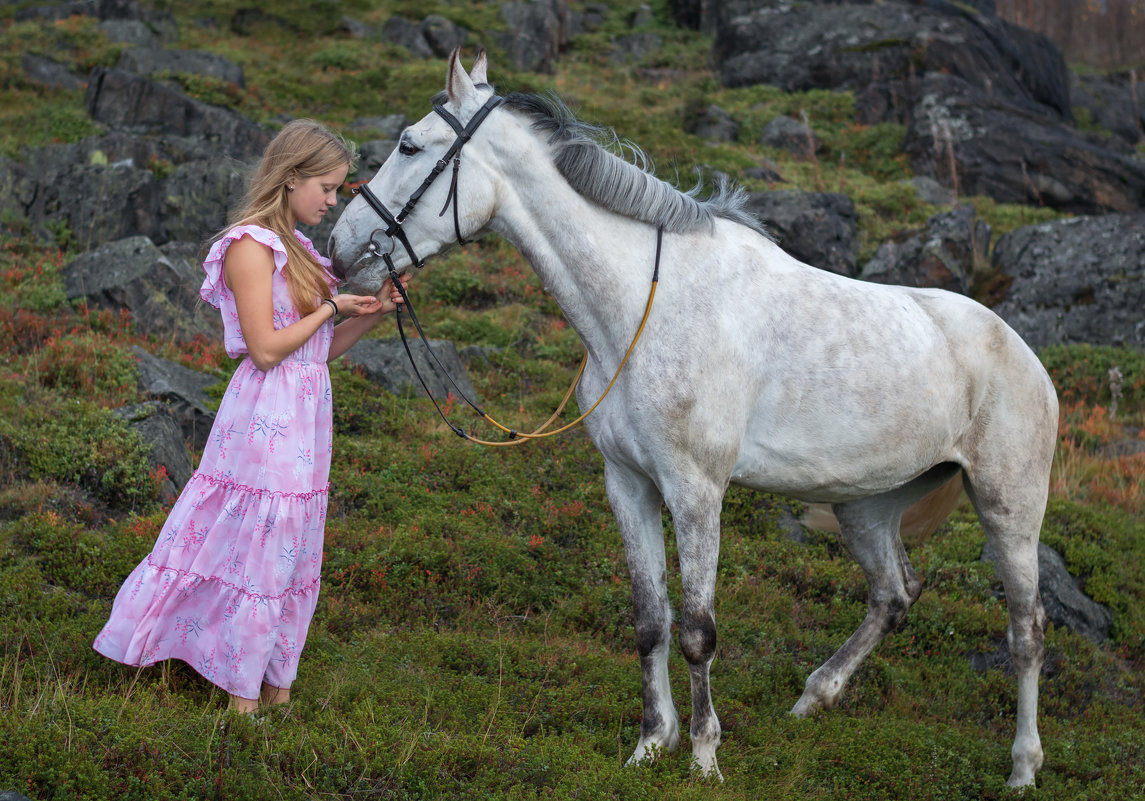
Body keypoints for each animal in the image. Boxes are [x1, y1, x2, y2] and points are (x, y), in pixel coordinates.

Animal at [327, 51, 1057, 787]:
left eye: (409, 145)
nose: (340, 246)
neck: (640, 309)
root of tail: (1027, 357)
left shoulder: (696, 490)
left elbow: (699, 630)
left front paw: (705, 757)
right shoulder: (627, 483)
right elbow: (650, 619)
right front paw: (652, 743)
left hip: (1008, 506)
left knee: (1025, 628)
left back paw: (1022, 767)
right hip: (865, 505)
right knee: (894, 593)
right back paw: (812, 698)